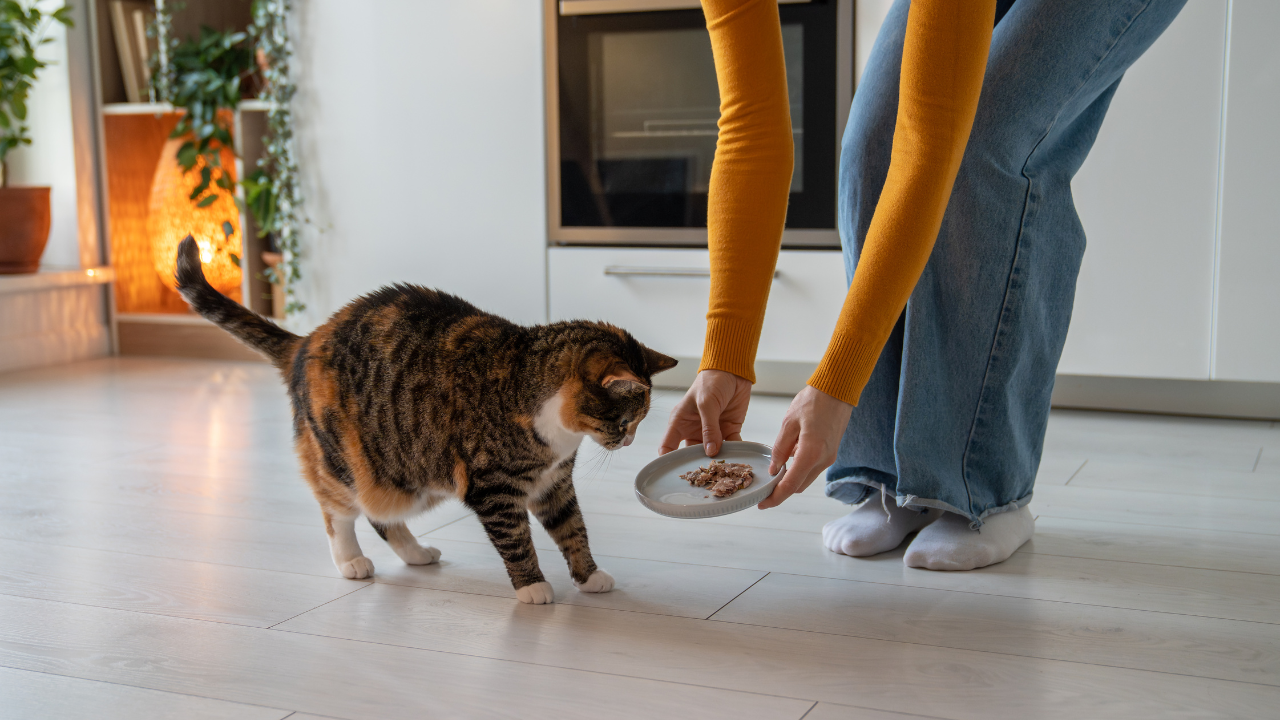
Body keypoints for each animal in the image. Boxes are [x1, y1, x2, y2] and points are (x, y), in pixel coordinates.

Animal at [180, 235, 686, 599]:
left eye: (637, 423)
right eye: (624, 422)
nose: (629, 442)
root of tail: (306, 342)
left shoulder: (554, 481)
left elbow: (573, 528)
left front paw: (589, 576)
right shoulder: (493, 485)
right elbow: (515, 538)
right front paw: (533, 588)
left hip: (403, 476)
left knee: (380, 515)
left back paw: (417, 552)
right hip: (347, 460)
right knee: (336, 510)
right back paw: (350, 561)